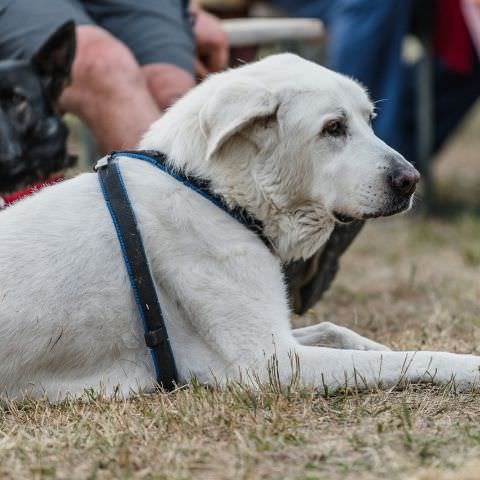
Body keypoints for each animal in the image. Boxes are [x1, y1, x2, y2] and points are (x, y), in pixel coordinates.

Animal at [0, 53, 480, 402]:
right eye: (333, 128)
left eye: (369, 121)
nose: (411, 180)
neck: (215, 194)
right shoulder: (275, 363)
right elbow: (411, 360)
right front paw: (466, 365)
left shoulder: (281, 339)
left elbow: (339, 331)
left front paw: (378, 345)